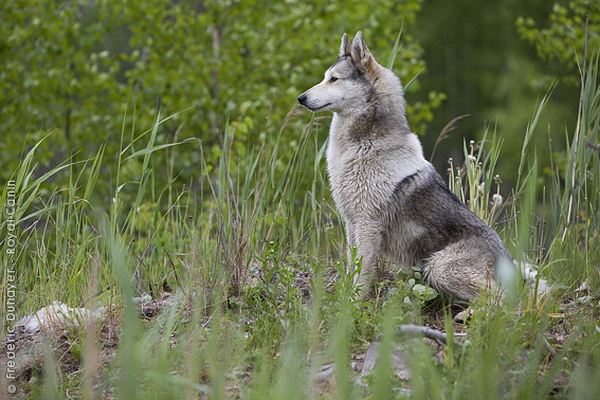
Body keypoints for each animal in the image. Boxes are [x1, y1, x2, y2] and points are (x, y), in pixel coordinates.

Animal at [298, 32, 508, 300]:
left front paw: (352, 304)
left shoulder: (367, 224)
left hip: (439, 268)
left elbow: (361, 274)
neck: (364, 145)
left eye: (334, 79)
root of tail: (510, 265)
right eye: (325, 77)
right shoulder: (352, 223)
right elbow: (350, 266)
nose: (300, 98)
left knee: (503, 300)